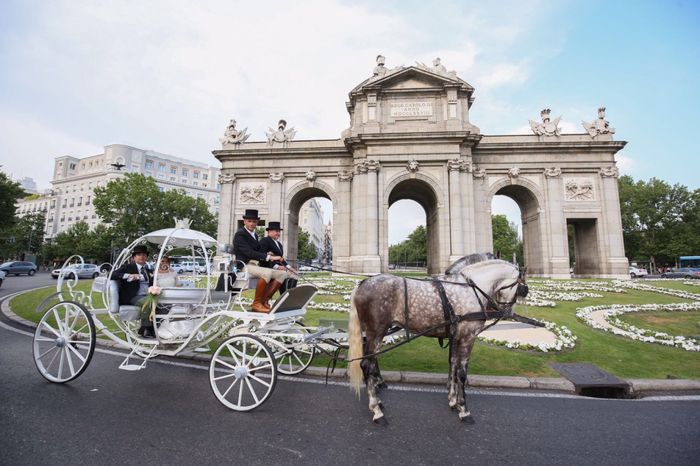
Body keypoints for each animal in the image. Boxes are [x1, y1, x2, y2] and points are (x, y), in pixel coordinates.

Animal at [348, 253, 528, 424]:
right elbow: (462, 373)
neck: (470, 288)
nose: (507, 312)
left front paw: (453, 401)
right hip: (377, 332)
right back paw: (376, 409)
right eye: (521, 286)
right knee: (366, 364)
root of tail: (363, 283)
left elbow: (453, 365)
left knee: (370, 362)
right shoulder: (468, 337)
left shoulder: (456, 337)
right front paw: (464, 409)